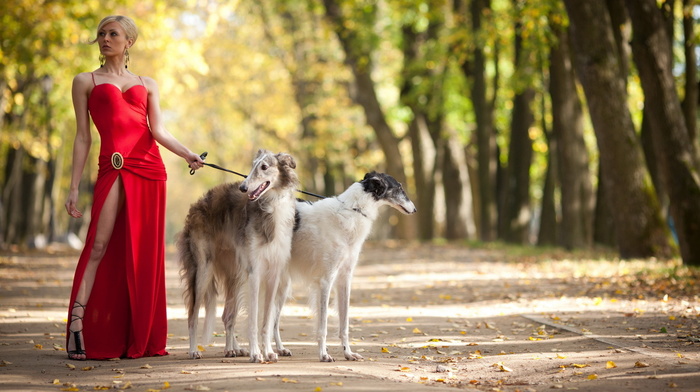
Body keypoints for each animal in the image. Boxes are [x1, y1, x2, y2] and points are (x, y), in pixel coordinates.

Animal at [178, 149, 298, 362]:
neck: (271, 206)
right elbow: (254, 320)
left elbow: (267, 320)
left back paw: (232, 349)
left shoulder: (274, 274)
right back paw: (194, 350)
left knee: (228, 315)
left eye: (264, 167)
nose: (243, 187)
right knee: (193, 315)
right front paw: (256, 353)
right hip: (203, 270)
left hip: (236, 273)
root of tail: (197, 204)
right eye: (253, 165)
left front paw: (268, 352)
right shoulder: (255, 272)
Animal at [272, 172, 416, 362]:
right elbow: (323, 325)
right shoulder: (325, 279)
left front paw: (348, 352)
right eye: (399, 188)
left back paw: (279, 349)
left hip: (282, 284)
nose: (415, 209)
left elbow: (344, 323)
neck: (352, 210)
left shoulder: (344, 278)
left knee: (272, 321)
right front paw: (324, 354)